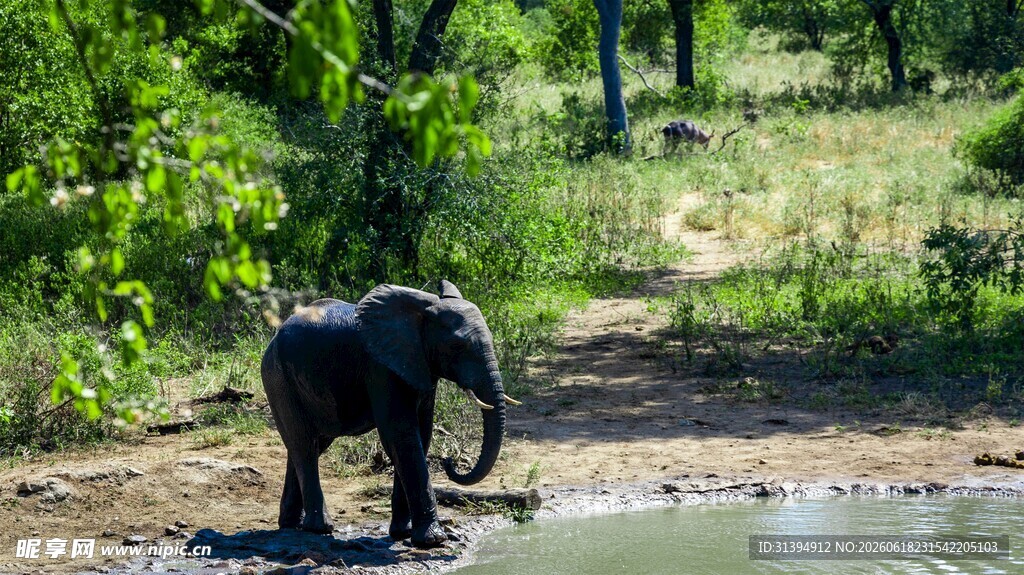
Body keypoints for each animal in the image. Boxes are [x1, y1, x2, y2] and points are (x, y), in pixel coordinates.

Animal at [260, 280, 518, 548]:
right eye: (457, 346)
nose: (449, 462)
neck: (422, 311)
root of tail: (274, 337)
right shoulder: (381, 367)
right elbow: (401, 435)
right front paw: (433, 540)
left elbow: (421, 435)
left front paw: (403, 534)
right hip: (278, 378)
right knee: (305, 446)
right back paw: (319, 528)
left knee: (306, 444)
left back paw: (292, 524)